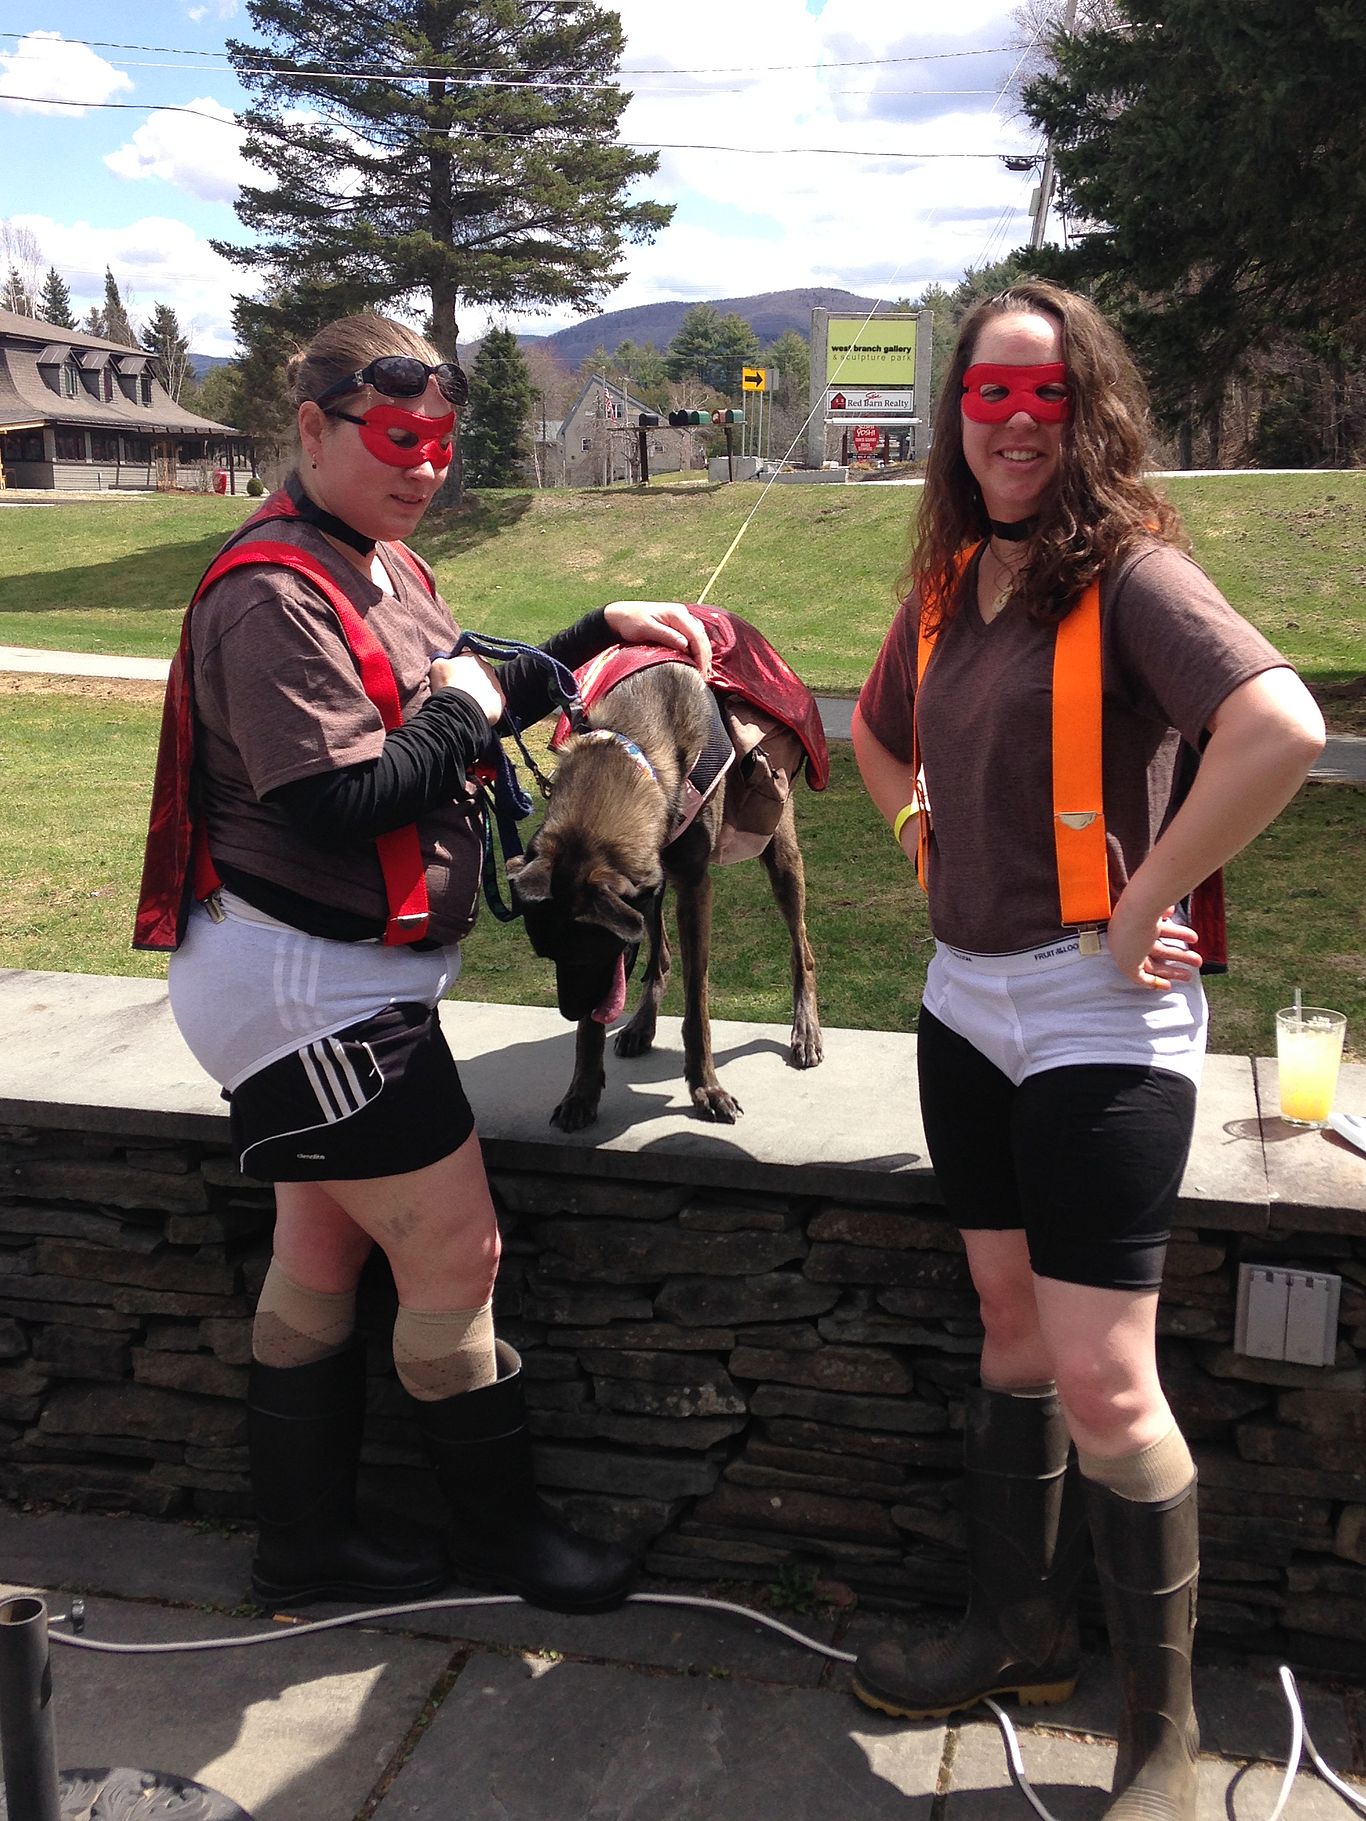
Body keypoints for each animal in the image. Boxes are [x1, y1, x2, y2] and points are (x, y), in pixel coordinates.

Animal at [509, 658, 823, 1131]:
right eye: (551, 957)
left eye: (583, 955)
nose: (567, 1012)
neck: (632, 747)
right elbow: (595, 1025)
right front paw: (582, 1090)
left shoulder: (693, 885)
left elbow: (697, 1004)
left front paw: (706, 1089)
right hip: (652, 889)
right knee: (661, 956)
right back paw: (641, 1024)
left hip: (778, 846)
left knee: (801, 947)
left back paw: (805, 1030)